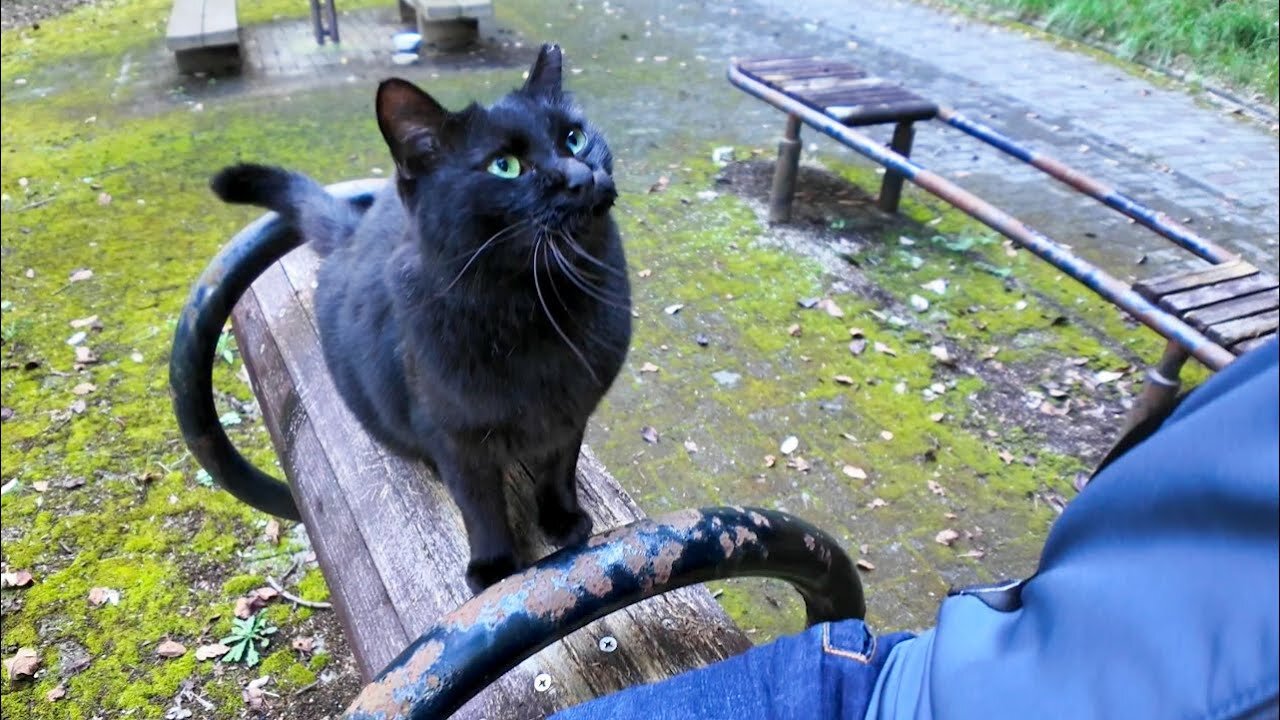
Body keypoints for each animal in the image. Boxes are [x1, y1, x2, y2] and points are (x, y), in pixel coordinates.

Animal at [212, 46, 632, 594]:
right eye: (504, 166)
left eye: (574, 138)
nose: (581, 176)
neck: (539, 307)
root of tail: (353, 232)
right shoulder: (454, 435)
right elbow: (480, 506)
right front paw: (494, 567)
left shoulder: (571, 413)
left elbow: (558, 469)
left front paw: (562, 520)